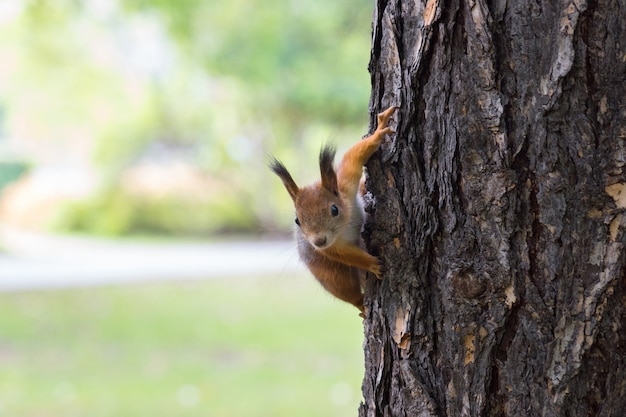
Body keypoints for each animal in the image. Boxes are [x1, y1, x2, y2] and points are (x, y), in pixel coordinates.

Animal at [266, 105, 394, 314]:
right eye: (297, 220)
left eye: (334, 210)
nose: (318, 241)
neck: (345, 226)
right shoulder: (332, 248)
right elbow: (344, 254)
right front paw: (372, 264)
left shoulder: (346, 185)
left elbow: (354, 158)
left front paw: (378, 132)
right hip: (330, 273)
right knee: (347, 291)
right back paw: (362, 305)